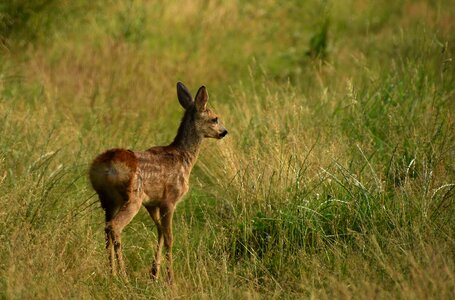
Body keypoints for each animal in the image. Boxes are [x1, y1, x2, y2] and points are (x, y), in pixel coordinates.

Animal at [88, 82, 228, 284]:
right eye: (214, 118)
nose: (224, 132)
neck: (184, 158)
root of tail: (106, 166)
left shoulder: (152, 203)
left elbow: (160, 231)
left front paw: (154, 273)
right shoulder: (170, 199)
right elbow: (169, 237)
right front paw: (170, 278)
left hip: (108, 200)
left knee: (106, 229)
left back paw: (112, 273)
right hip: (132, 197)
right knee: (114, 226)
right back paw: (123, 275)